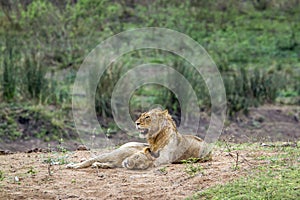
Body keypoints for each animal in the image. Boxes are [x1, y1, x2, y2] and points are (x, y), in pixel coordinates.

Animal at [66, 108, 211, 170]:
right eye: (142, 115)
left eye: (147, 117)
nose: (136, 123)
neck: (155, 138)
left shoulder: (164, 158)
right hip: (118, 151)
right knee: (92, 159)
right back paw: (74, 165)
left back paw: (98, 165)